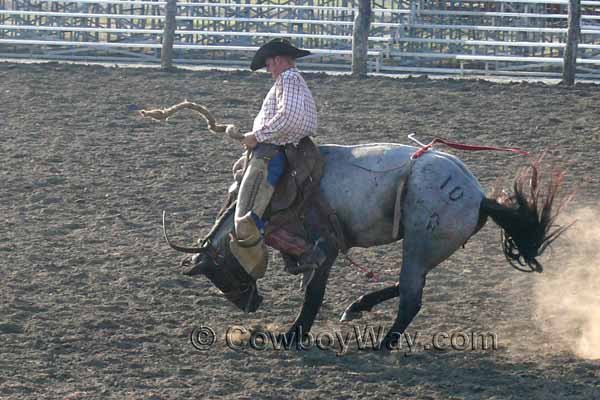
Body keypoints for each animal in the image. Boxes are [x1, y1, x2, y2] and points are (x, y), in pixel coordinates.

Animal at [141, 101, 572, 352]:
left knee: (411, 297)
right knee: (410, 285)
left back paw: (382, 344)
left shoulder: (325, 247)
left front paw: (292, 335)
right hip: (428, 249)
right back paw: (358, 308)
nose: (251, 305)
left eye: (217, 272)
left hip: (421, 244)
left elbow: (313, 294)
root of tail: (479, 195)